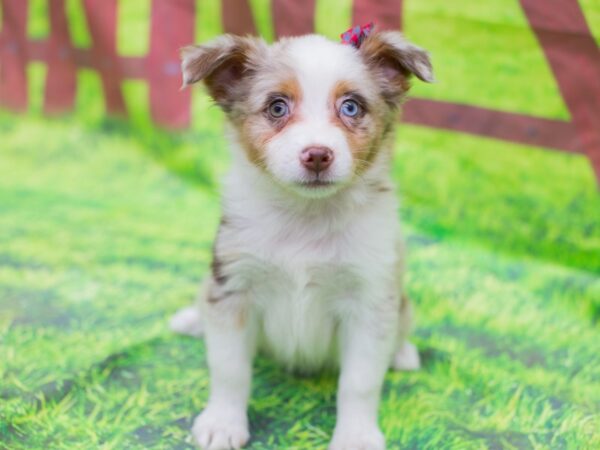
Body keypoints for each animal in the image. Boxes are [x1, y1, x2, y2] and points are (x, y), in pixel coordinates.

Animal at [171, 29, 434, 450]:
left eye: (350, 107)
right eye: (277, 107)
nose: (317, 156)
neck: (306, 216)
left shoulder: (370, 302)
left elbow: (359, 383)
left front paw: (356, 436)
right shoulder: (233, 288)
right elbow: (229, 369)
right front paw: (223, 423)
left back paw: (403, 353)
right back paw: (192, 319)